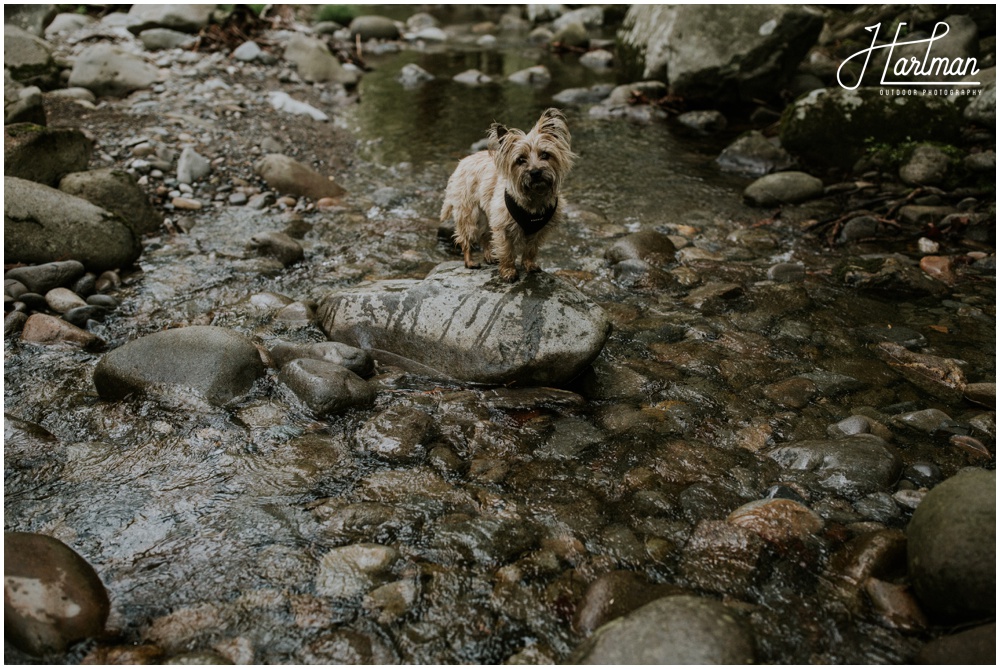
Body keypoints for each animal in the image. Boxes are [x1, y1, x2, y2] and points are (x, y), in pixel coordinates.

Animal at [442, 106, 576, 282]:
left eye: (545, 154)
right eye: (520, 160)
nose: (535, 172)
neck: (534, 197)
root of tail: (462, 162)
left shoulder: (539, 231)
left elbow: (531, 249)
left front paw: (529, 265)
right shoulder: (503, 226)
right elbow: (506, 251)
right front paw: (508, 271)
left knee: (485, 236)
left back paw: (489, 256)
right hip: (471, 214)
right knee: (466, 238)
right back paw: (470, 261)